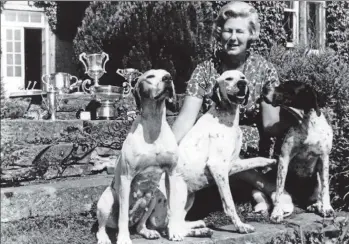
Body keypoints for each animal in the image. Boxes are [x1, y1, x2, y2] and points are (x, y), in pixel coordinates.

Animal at [94, 68, 177, 244]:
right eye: (150, 76)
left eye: (167, 74)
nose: (168, 78)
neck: (154, 123)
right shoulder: (126, 178)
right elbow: (123, 216)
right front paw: (124, 239)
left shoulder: (172, 173)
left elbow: (173, 207)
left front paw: (174, 231)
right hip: (107, 198)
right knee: (102, 227)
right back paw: (105, 237)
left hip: (153, 197)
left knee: (140, 224)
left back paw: (147, 231)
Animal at [262, 80, 334, 223]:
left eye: (284, 87)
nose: (264, 88)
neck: (306, 123)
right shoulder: (284, 158)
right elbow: (279, 189)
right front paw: (276, 213)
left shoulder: (324, 157)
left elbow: (325, 188)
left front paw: (327, 208)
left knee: (317, 193)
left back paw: (317, 205)